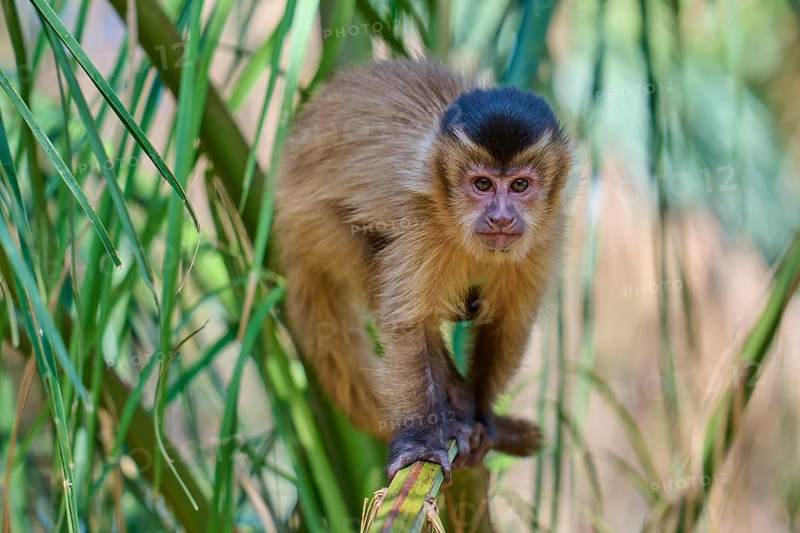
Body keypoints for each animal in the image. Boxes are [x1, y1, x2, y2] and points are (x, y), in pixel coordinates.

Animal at [274, 59, 574, 481]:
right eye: (482, 184)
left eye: (519, 185)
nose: (500, 218)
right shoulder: (420, 220)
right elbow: (408, 327)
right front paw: (422, 441)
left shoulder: (546, 234)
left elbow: (507, 323)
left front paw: (483, 418)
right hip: (315, 226)